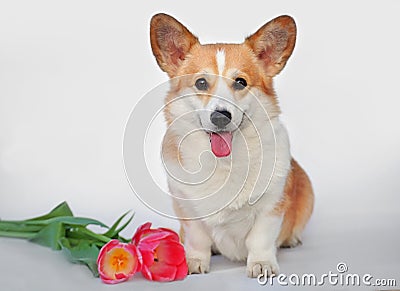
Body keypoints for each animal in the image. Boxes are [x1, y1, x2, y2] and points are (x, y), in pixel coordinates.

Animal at [148, 13, 314, 278]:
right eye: (201, 83)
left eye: (240, 82)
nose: (220, 116)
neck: (223, 162)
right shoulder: (187, 210)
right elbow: (197, 239)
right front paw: (194, 261)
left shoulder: (271, 206)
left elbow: (260, 239)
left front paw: (261, 264)